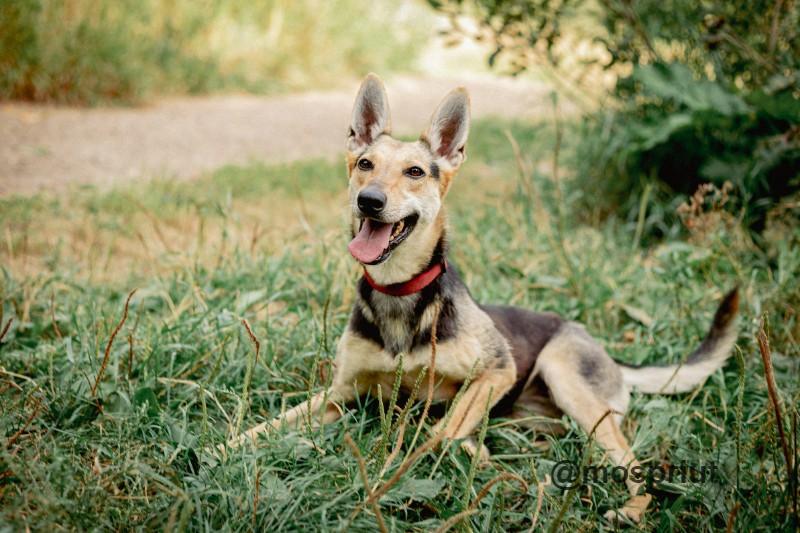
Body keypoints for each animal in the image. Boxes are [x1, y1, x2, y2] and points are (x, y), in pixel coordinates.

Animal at [228, 75, 740, 524]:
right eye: (365, 164)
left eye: (415, 172)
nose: (368, 201)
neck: (400, 293)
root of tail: (608, 353)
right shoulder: (339, 394)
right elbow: (265, 427)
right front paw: (217, 455)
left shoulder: (496, 371)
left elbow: (439, 429)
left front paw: (412, 463)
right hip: (532, 416)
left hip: (566, 376)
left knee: (633, 464)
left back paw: (629, 508)